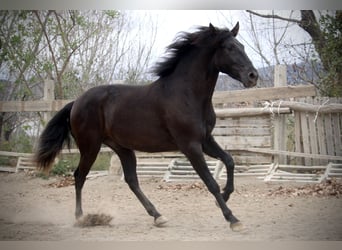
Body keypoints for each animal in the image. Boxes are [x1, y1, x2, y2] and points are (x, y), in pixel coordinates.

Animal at [35, 22, 260, 231]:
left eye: (242, 46)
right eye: (229, 48)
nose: (253, 76)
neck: (187, 94)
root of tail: (76, 103)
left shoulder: (205, 140)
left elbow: (229, 161)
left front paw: (224, 196)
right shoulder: (190, 146)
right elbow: (210, 182)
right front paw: (233, 219)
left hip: (122, 148)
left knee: (131, 180)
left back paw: (158, 216)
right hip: (90, 146)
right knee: (79, 176)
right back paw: (81, 218)